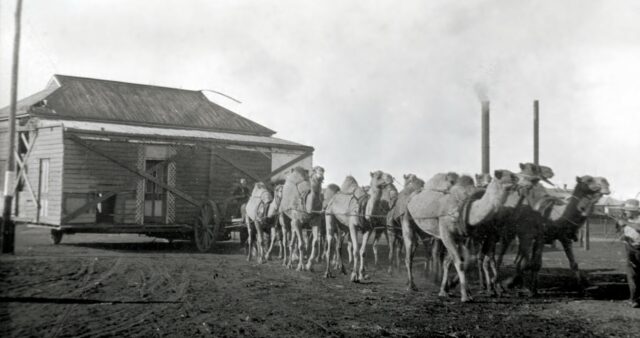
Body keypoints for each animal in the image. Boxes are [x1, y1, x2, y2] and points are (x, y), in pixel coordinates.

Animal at [402, 170, 524, 302]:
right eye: (511, 175)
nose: (526, 181)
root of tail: (412, 196)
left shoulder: (462, 237)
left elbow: (461, 261)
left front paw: (447, 291)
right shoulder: (446, 233)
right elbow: (459, 262)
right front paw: (465, 296)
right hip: (407, 219)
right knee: (410, 253)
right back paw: (411, 286)